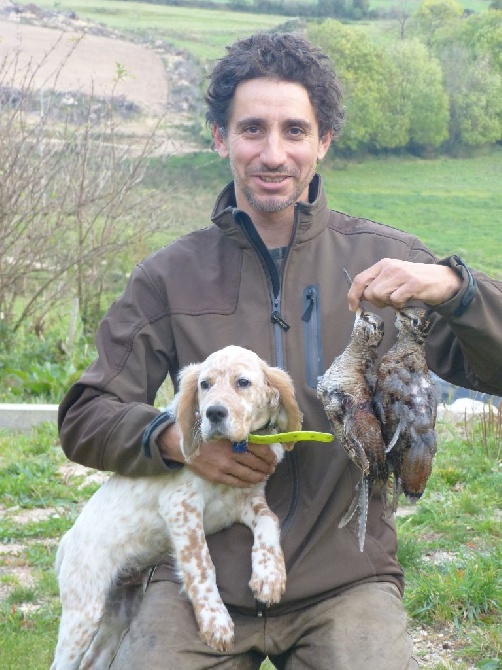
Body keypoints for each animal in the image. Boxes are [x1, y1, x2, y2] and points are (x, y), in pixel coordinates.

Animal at [51, 346, 302, 670]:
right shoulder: (181, 506)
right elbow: (202, 565)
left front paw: (269, 577)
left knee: (93, 661)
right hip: (84, 611)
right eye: (204, 385)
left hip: (120, 610)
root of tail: (67, 540)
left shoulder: (248, 501)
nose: (214, 413)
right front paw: (215, 621)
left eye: (243, 382)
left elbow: (271, 521)